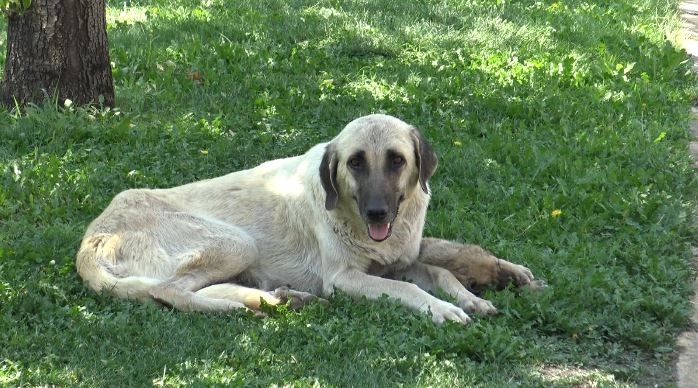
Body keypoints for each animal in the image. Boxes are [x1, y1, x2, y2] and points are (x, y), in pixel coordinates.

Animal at [75, 113, 540, 324]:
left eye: (396, 160)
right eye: (355, 162)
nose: (377, 212)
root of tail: (92, 239)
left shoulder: (402, 259)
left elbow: (441, 270)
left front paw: (472, 296)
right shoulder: (345, 278)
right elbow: (406, 289)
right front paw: (443, 309)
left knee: (187, 289)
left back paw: (283, 299)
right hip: (234, 241)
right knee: (169, 291)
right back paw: (243, 308)